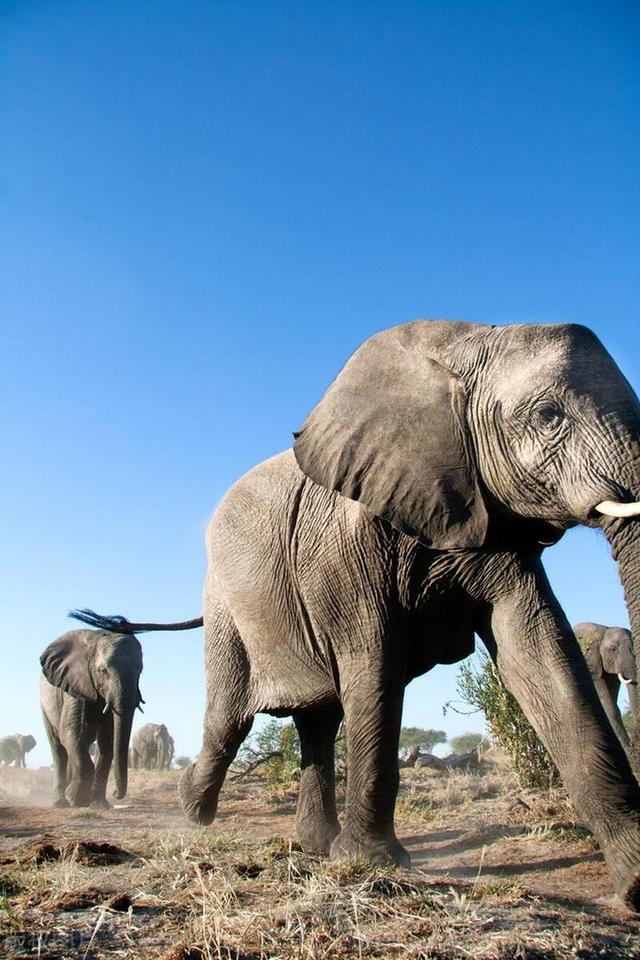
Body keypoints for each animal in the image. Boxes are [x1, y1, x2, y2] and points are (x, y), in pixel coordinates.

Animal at [81, 320, 640, 908]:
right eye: (548, 415)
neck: (462, 349)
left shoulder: (492, 518)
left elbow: (539, 655)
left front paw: (635, 880)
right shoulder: (346, 549)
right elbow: (375, 669)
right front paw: (371, 863)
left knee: (317, 718)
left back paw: (314, 843)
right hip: (226, 607)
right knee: (231, 718)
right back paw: (194, 811)